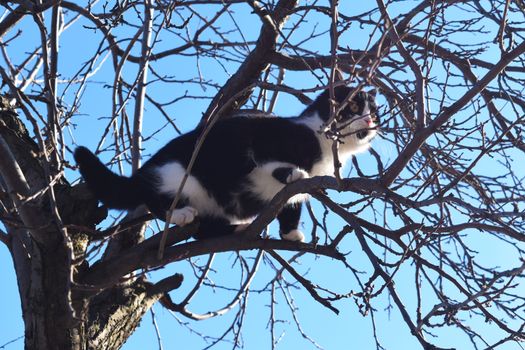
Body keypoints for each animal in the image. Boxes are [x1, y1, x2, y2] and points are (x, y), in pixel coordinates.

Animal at [73, 86, 376, 242]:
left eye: (374, 110)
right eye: (353, 108)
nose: (370, 120)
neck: (324, 145)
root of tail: (141, 172)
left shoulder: (295, 195)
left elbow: (291, 203)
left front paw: (290, 234)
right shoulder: (264, 140)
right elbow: (268, 163)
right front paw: (291, 173)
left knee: (204, 231)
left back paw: (234, 228)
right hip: (176, 173)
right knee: (153, 195)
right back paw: (180, 213)